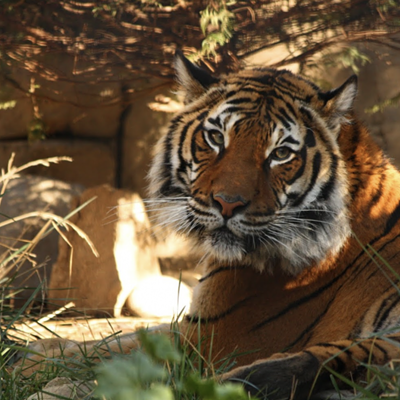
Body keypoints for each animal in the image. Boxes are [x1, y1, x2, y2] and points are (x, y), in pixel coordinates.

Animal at [16, 51, 400, 398]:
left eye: (280, 154)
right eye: (216, 138)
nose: (228, 203)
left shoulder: (204, 341)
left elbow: (105, 353)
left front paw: (24, 364)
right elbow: (109, 338)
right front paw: (32, 347)